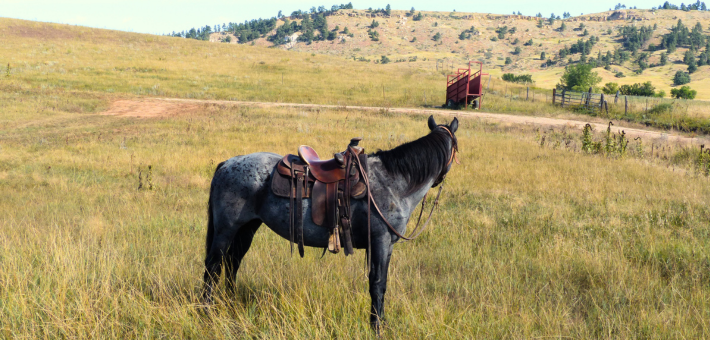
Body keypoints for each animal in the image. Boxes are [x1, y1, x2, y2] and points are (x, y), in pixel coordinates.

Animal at [204, 115, 462, 330]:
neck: (393, 182)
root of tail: (227, 164)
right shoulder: (380, 240)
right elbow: (377, 283)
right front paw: (376, 327)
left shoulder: (387, 245)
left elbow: (383, 283)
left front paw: (382, 323)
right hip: (226, 230)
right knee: (213, 266)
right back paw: (206, 311)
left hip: (247, 228)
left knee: (233, 263)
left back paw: (230, 303)